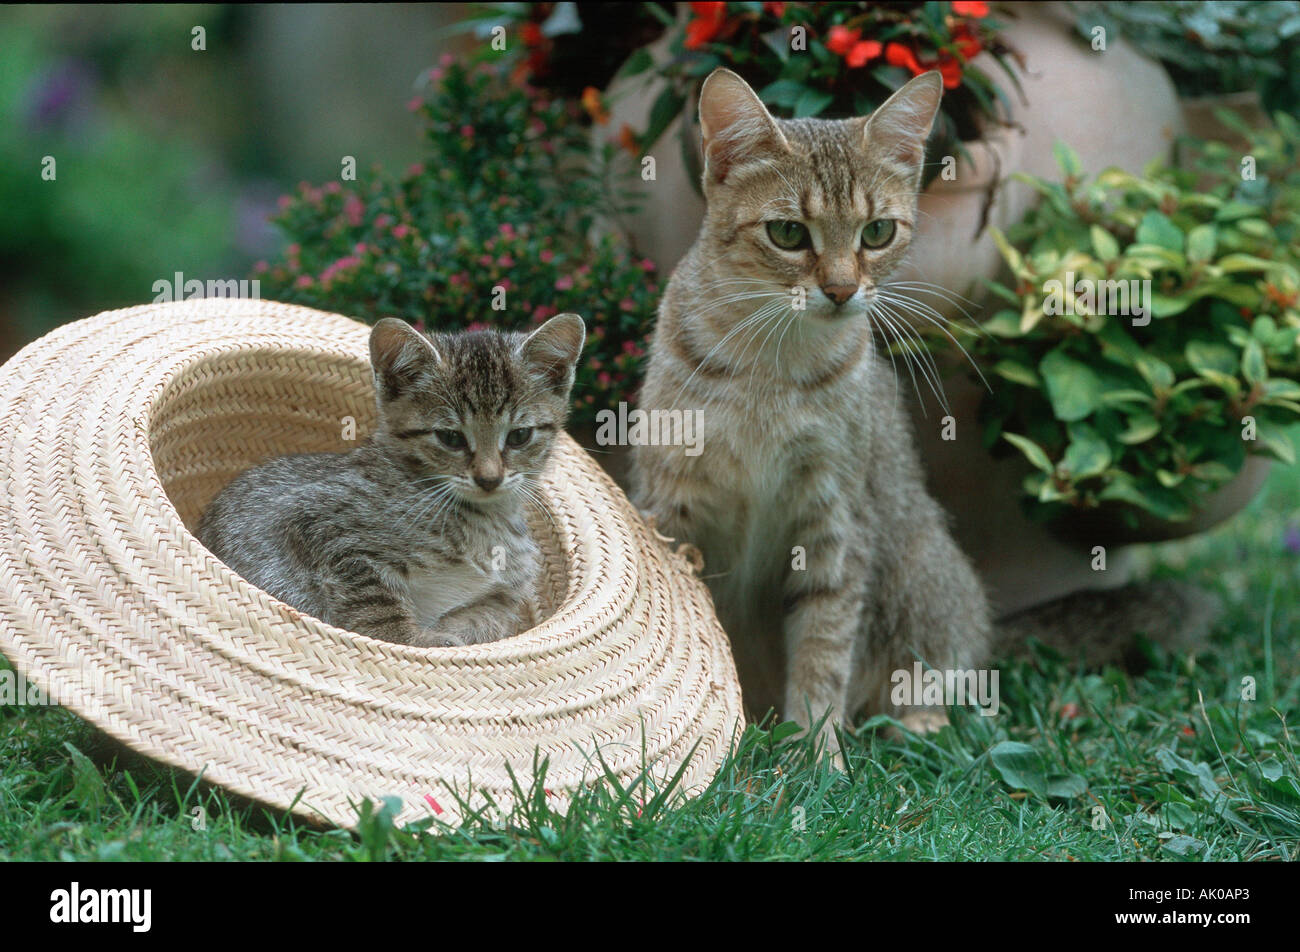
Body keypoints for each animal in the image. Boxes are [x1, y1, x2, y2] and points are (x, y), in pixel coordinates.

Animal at [197, 312, 585, 647]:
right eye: (451, 438)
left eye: (519, 436)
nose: (489, 478)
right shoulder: (320, 523)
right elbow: (376, 607)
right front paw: (410, 640)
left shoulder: (503, 596)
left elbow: (484, 622)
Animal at [629, 70, 982, 743]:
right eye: (789, 233)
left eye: (878, 232)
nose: (842, 289)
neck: (772, 368)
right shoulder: (674, 499)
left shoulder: (835, 519)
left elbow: (823, 649)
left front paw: (815, 751)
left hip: (924, 574)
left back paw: (920, 719)